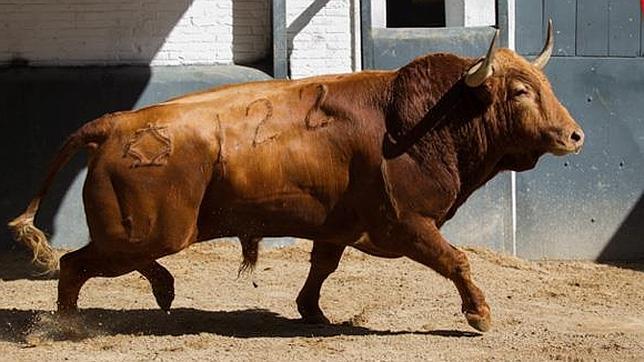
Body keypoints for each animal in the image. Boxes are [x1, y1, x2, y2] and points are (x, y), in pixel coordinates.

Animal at [10, 23, 584, 334]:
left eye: (545, 84)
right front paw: (480, 315)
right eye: (520, 92)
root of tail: (114, 123)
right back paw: (70, 324)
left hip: (146, 234)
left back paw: (164, 290)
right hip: (146, 232)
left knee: (107, 262)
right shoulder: (407, 224)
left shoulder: (338, 225)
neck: (423, 118)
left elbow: (322, 267)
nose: (574, 136)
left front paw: (311, 311)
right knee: (76, 264)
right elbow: (456, 260)